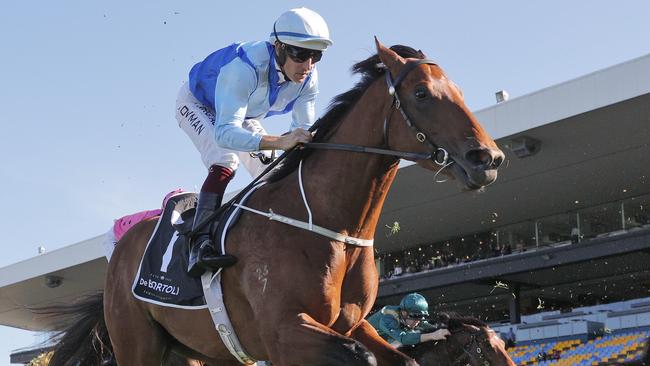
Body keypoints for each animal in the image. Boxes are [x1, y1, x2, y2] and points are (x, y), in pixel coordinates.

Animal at [50, 38, 504, 364]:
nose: (487, 158)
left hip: (197, 350)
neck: (332, 225)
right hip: (138, 344)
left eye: (458, 90)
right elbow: (360, 357)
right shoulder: (284, 333)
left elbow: (400, 359)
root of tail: (119, 249)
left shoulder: (354, 324)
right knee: (224, 157)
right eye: (423, 93)